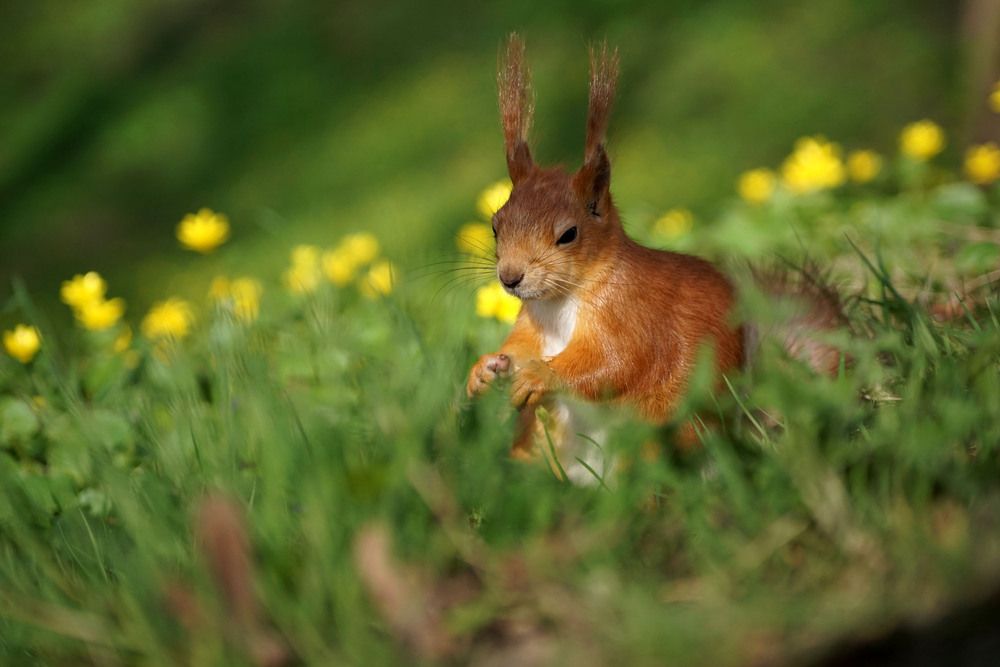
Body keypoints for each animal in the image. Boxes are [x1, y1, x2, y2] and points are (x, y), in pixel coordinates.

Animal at [466, 35, 842, 459]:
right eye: (495, 225)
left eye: (568, 234)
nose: (510, 278)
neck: (558, 303)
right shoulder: (532, 325)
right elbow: (519, 347)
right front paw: (483, 370)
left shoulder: (632, 314)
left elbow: (614, 363)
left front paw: (541, 374)